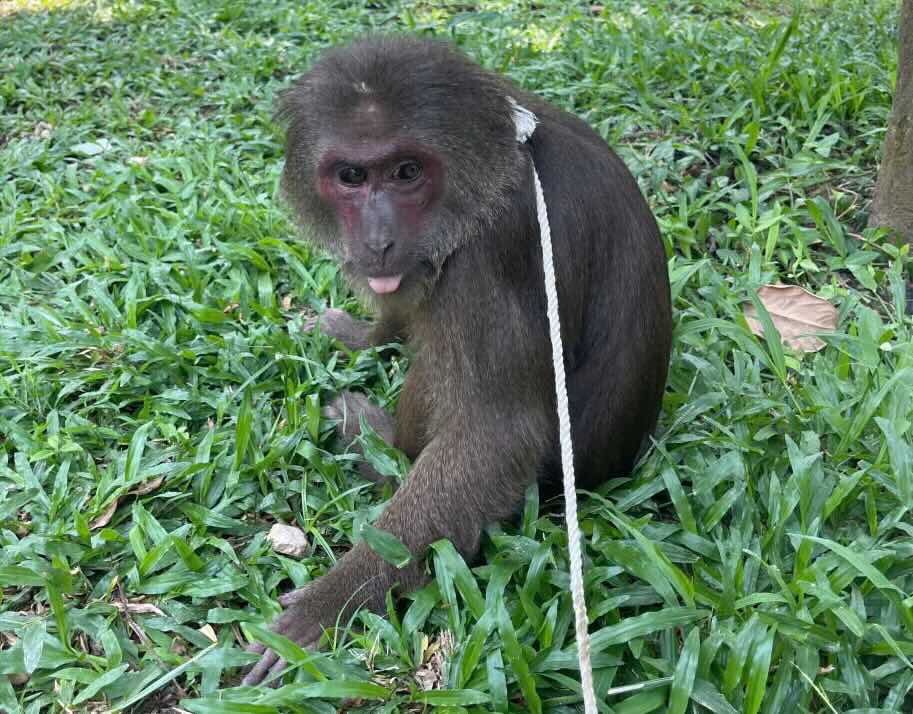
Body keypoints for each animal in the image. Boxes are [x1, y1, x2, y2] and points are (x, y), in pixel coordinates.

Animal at [243, 35, 672, 685]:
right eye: (351, 176)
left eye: (407, 173)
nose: (378, 241)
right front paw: (362, 333)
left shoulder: (485, 257)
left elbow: (493, 436)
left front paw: (335, 597)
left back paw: (377, 443)